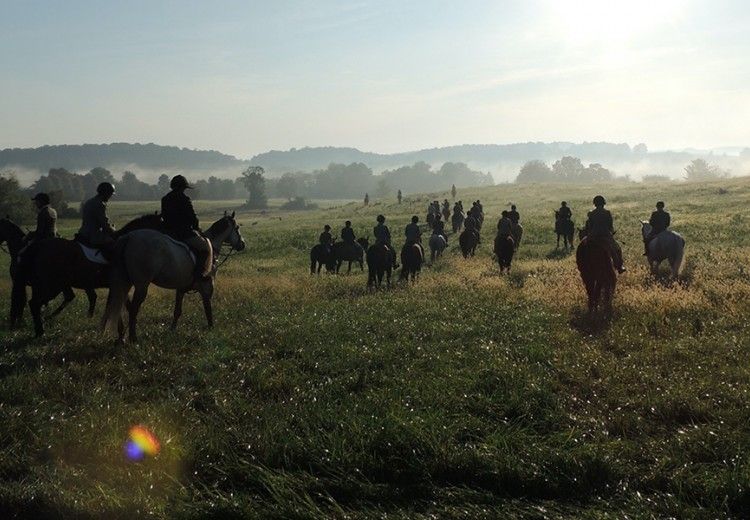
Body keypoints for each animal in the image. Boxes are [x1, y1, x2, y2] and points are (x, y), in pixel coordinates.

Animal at [9, 212, 164, 338]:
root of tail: (38, 246)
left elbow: (120, 306)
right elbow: (122, 307)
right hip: (52, 286)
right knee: (35, 303)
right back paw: (41, 330)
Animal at [101, 213, 244, 344]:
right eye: (237, 227)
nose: (242, 244)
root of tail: (128, 237)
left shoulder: (180, 289)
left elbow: (177, 311)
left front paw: (172, 331)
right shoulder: (207, 289)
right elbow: (208, 309)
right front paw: (211, 329)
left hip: (124, 283)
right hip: (141, 286)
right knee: (133, 309)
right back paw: (133, 339)